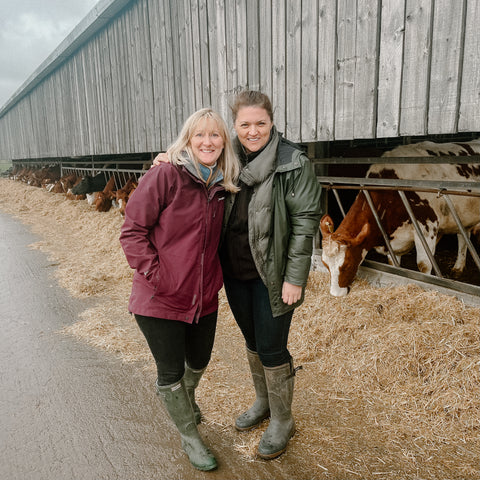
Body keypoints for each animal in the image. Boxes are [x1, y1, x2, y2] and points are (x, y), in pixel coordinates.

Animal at [320, 139, 480, 296]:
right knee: (463, 236)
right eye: (325, 264)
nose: (336, 294)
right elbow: (393, 264)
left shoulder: (427, 226)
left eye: (346, 265)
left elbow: (424, 264)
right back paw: (458, 268)